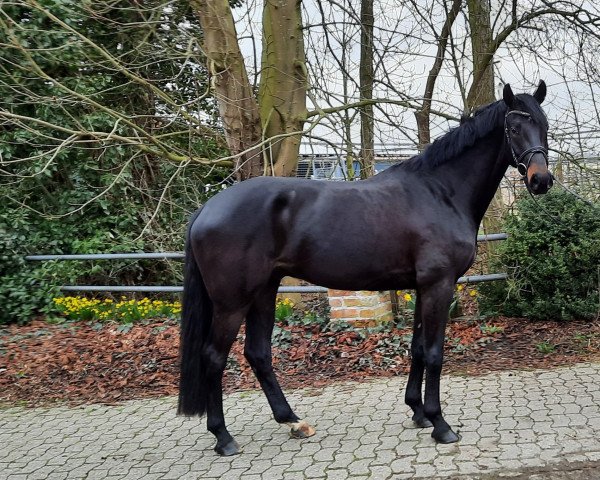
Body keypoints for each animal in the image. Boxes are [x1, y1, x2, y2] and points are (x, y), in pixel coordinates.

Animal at [177, 81, 552, 454]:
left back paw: (292, 421)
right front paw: (440, 424)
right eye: (514, 128)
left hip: (264, 291)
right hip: (232, 302)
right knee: (213, 357)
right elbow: (434, 352)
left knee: (258, 353)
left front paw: (418, 412)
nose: (541, 180)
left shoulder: (422, 287)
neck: (440, 192)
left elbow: (417, 348)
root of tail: (207, 208)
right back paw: (223, 436)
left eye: (544, 125)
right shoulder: (439, 285)